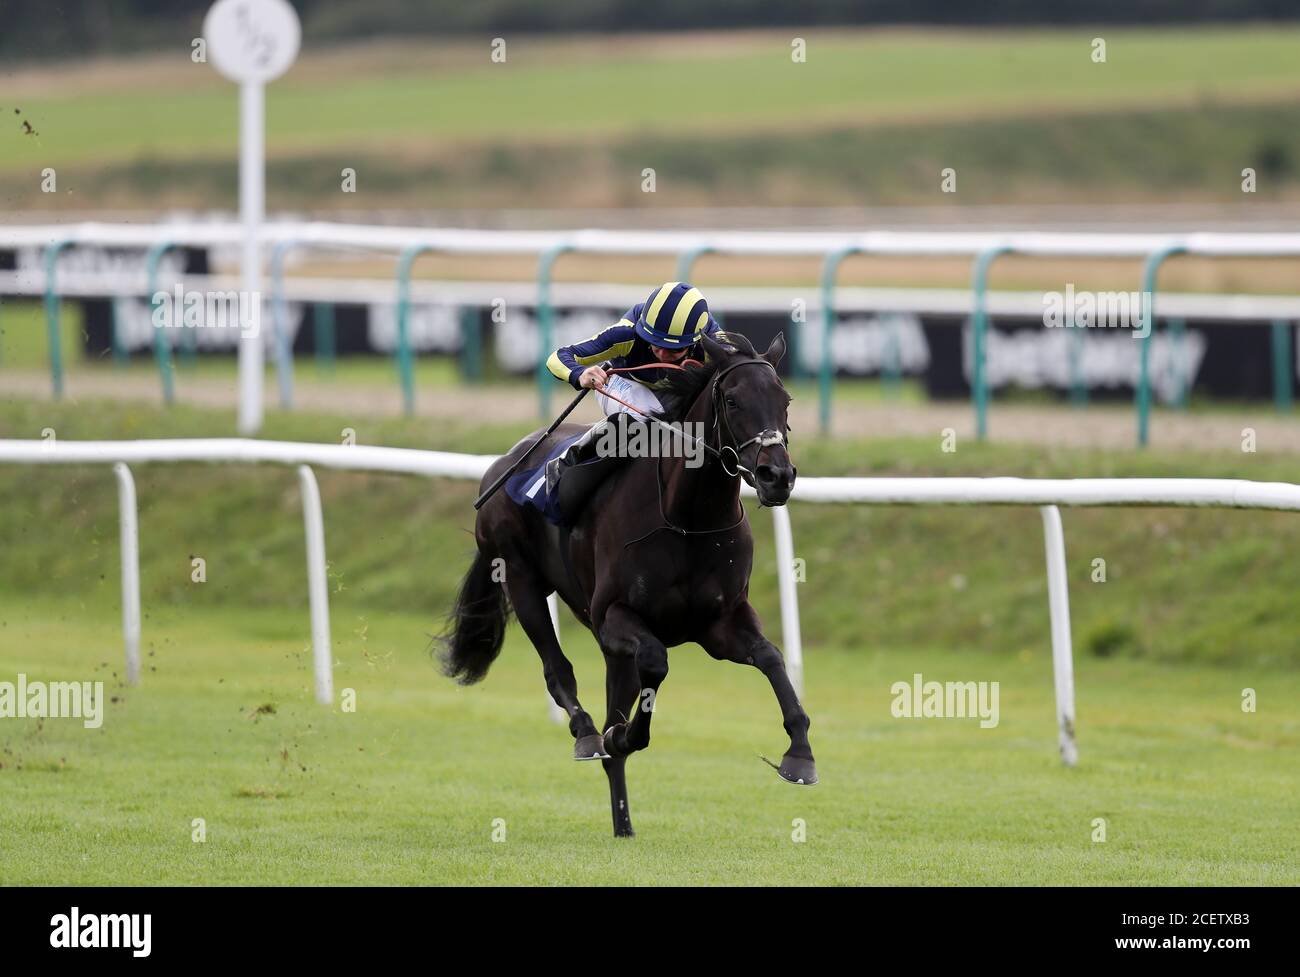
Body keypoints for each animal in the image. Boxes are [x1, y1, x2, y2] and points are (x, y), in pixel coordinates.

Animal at [441, 332, 816, 836]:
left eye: (785, 399)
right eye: (733, 400)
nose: (778, 476)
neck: (688, 519)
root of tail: (502, 463)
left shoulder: (720, 623)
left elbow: (772, 658)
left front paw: (800, 754)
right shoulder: (613, 617)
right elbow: (655, 663)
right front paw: (625, 734)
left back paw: (623, 823)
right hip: (520, 579)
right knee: (558, 670)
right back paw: (587, 734)